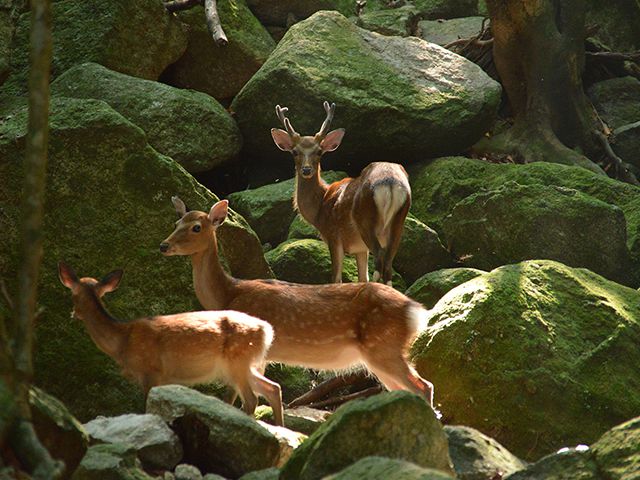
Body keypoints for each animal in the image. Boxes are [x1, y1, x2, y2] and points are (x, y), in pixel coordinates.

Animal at [57, 262, 282, 424]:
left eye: (72, 295)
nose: (73, 314)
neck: (122, 341)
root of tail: (266, 330)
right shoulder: (164, 378)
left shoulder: (151, 371)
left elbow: (146, 410)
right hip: (241, 365)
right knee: (272, 388)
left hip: (237, 361)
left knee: (252, 398)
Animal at [159, 198, 436, 404]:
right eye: (176, 222)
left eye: (196, 227)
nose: (163, 245)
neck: (228, 293)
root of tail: (416, 311)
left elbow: (235, 394)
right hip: (380, 355)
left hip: (383, 347)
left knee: (424, 386)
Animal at [270, 99, 410, 284]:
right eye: (294, 152)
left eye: (319, 151)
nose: (306, 170)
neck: (320, 207)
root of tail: (390, 182)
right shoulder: (360, 248)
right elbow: (361, 277)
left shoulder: (333, 235)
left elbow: (336, 278)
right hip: (398, 223)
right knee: (387, 265)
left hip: (365, 220)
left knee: (380, 260)